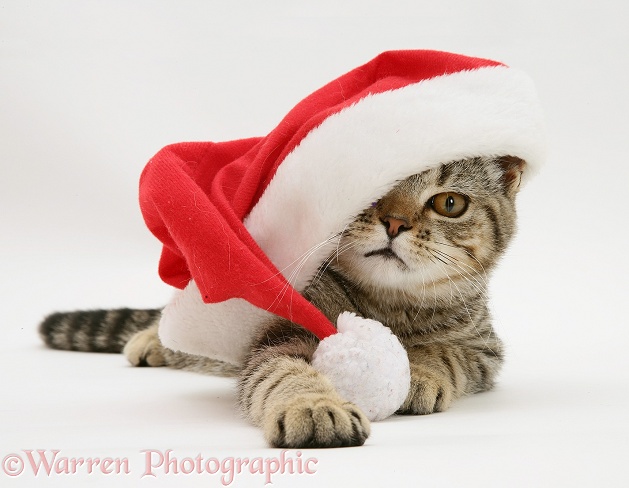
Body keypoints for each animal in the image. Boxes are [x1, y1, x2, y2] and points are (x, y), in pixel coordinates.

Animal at [36, 156, 524, 450]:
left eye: (449, 203)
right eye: (371, 191)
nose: (395, 222)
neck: (389, 304)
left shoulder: (485, 348)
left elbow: (446, 352)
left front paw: (419, 372)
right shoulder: (284, 333)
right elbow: (284, 371)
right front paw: (312, 405)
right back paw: (152, 339)